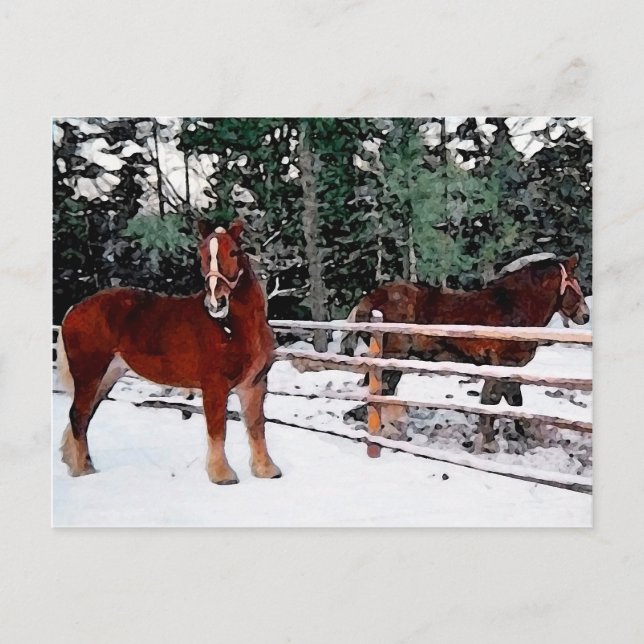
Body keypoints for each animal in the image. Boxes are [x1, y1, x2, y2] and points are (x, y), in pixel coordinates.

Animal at [57, 219, 281, 485]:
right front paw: (222, 475)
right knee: (78, 415)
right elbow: (218, 429)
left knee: (85, 415)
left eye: (234, 252)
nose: (216, 303)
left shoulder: (254, 385)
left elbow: (257, 426)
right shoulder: (215, 386)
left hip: (108, 375)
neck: (232, 328)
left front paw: (267, 470)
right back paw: (83, 470)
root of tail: (74, 309)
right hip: (89, 374)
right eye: (202, 254)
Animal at [341, 253, 589, 443]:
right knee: (382, 389)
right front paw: (489, 441)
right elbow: (495, 401)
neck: (513, 307)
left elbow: (510, 400)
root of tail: (370, 299)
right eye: (574, 284)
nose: (585, 316)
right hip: (393, 358)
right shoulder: (502, 364)